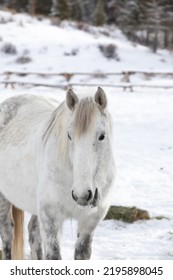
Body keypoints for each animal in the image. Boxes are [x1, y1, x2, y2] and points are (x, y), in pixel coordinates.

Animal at [0, 87, 116, 260]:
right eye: (69, 135)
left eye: (102, 136)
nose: (82, 194)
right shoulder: (50, 218)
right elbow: (53, 255)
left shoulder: (89, 221)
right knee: (8, 233)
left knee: (33, 234)